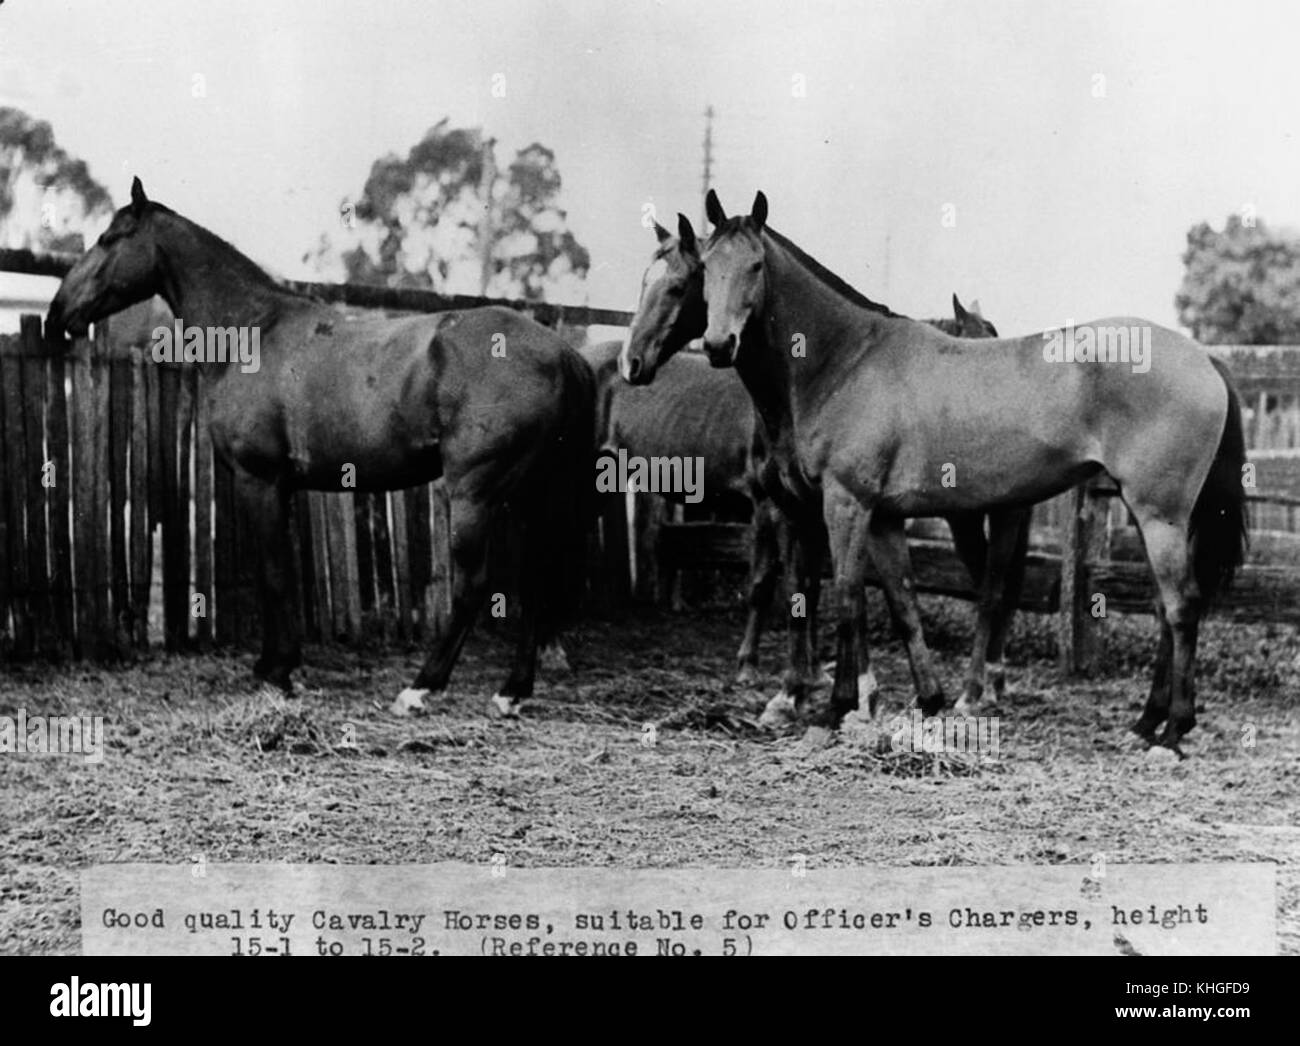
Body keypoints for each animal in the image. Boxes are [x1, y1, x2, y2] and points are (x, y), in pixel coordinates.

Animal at [44, 177, 595, 720]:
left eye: (108, 239)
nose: (55, 314)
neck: (254, 331)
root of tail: (562, 353)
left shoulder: (260, 480)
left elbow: (272, 574)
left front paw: (278, 671)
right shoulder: (284, 488)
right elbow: (285, 572)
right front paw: (276, 663)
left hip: (475, 494)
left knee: (473, 584)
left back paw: (421, 687)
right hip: (529, 496)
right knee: (536, 579)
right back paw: (512, 691)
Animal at [621, 214, 1024, 723]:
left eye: (677, 286)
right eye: (646, 282)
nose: (633, 362)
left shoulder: (793, 505)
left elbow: (815, 588)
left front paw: (841, 690)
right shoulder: (806, 508)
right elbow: (815, 588)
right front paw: (814, 684)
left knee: (992, 587)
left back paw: (979, 688)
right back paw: (987, 682)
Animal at [682, 190, 1247, 752]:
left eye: (756, 265)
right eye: (705, 266)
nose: (718, 345)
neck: (846, 360)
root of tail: (1206, 360)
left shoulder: (846, 504)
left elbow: (847, 597)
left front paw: (836, 710)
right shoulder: (882, 517)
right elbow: (903, 603)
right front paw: (927, 701)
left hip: (1160, 515)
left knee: (1181, 606)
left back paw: (1172, 731)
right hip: (1152, 514)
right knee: (1164, 610)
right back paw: (1146, 722)